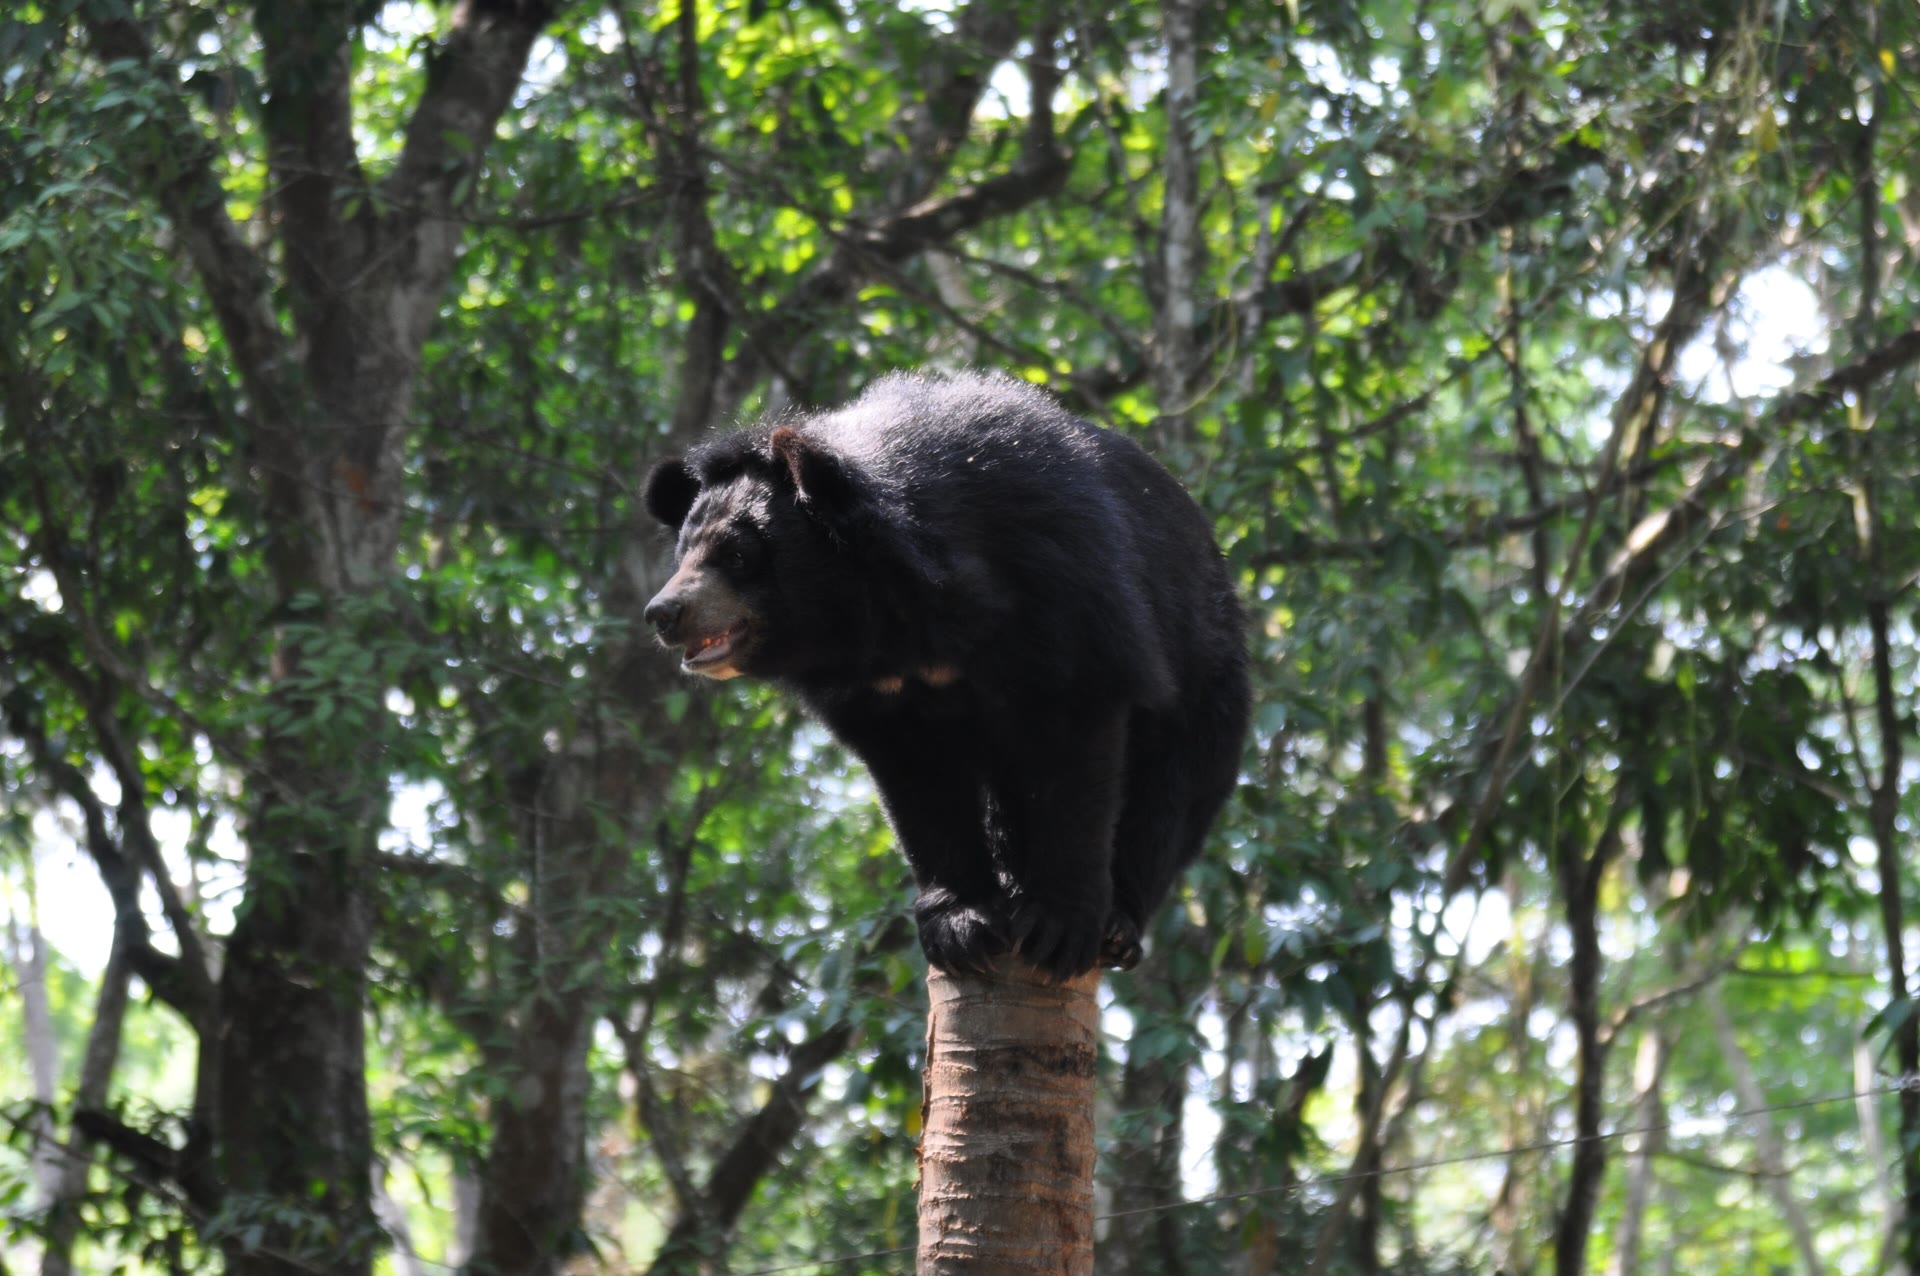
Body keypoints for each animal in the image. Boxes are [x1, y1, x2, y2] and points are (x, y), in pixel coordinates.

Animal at [642, 371, 1249, 979]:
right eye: (683, 552)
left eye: (737, 554)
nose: (662, 613)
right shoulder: (877, 695)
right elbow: (920, 784)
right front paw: (960, 927)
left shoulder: (1064, 590)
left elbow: (1076, 747)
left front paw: (1058, 927)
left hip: (1206, 675)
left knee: (1169, 794)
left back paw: (1119, 926)